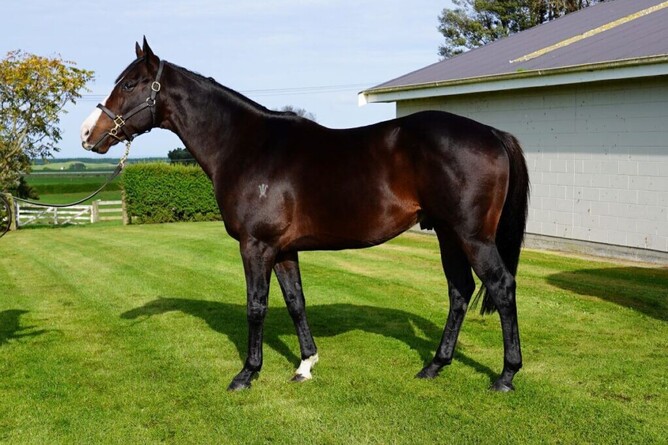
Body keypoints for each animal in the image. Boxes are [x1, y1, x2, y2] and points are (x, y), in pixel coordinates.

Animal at [81, 38, 530, 392]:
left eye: (130, 83)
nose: (88, 133)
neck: (246, 146)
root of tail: (493, 133)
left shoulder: (256, 246)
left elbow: (256, 306)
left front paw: (247, 373)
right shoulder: (282, 250)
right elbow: (296, 301)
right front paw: (305, 365)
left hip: (471, 236)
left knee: (501, 286)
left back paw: (506, 375)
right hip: (447, 234)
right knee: (460, 291)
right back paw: (435, 366)